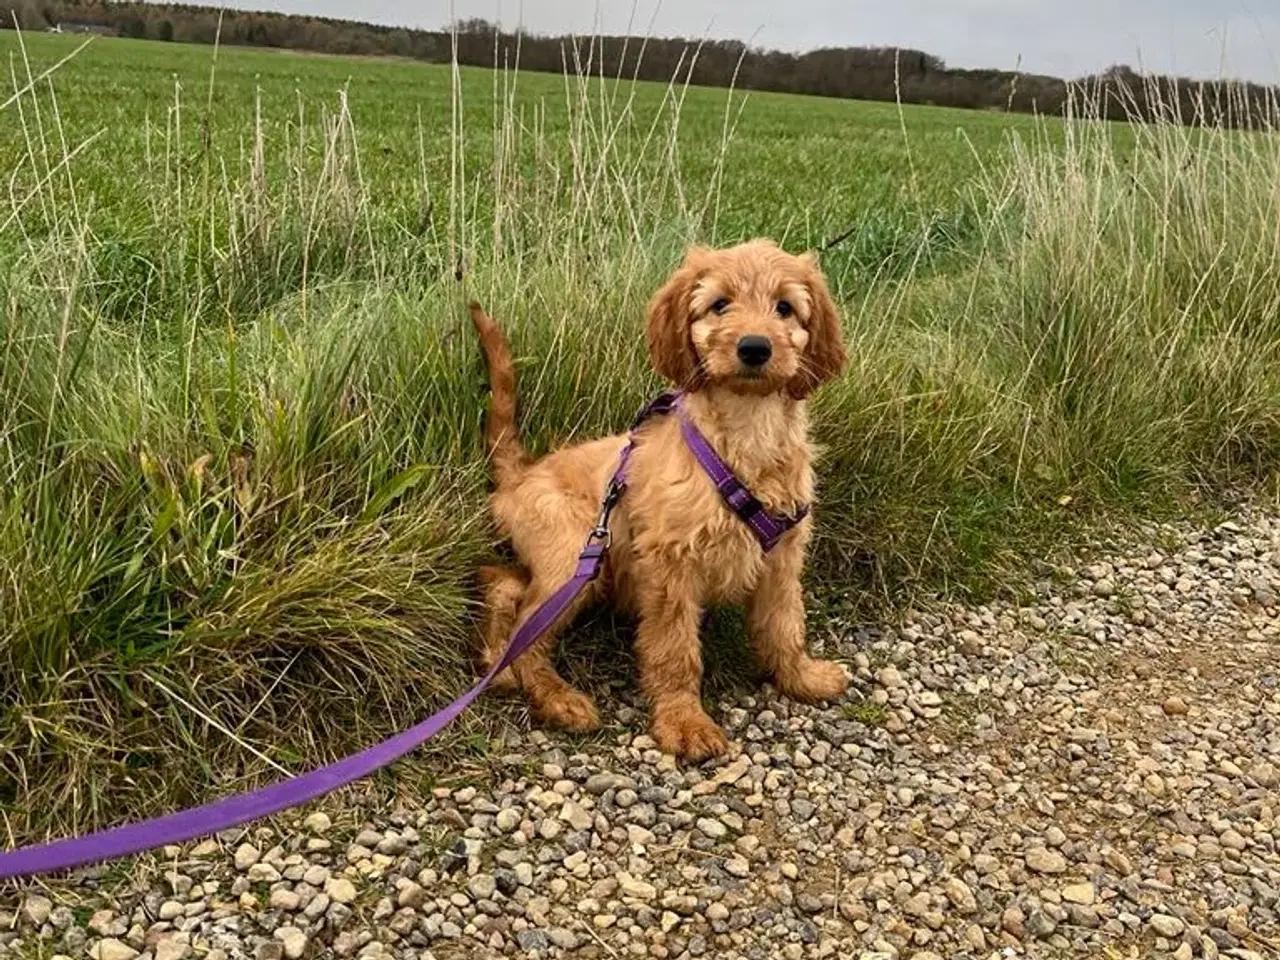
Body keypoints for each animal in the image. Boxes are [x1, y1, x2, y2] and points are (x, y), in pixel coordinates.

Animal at [471, 239, 849, 757]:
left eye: (785, 308)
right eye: (720, 304)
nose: (754, 348)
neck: (745, 436)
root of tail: (521, 474)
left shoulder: (782, 556)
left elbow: (785, 624)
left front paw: (801, 677)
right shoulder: (672, 565)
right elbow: (675, 650)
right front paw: (683, 721)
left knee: (503, 584)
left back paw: (499, 663)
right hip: (578, 553)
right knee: (527, 627)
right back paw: (557, 698)